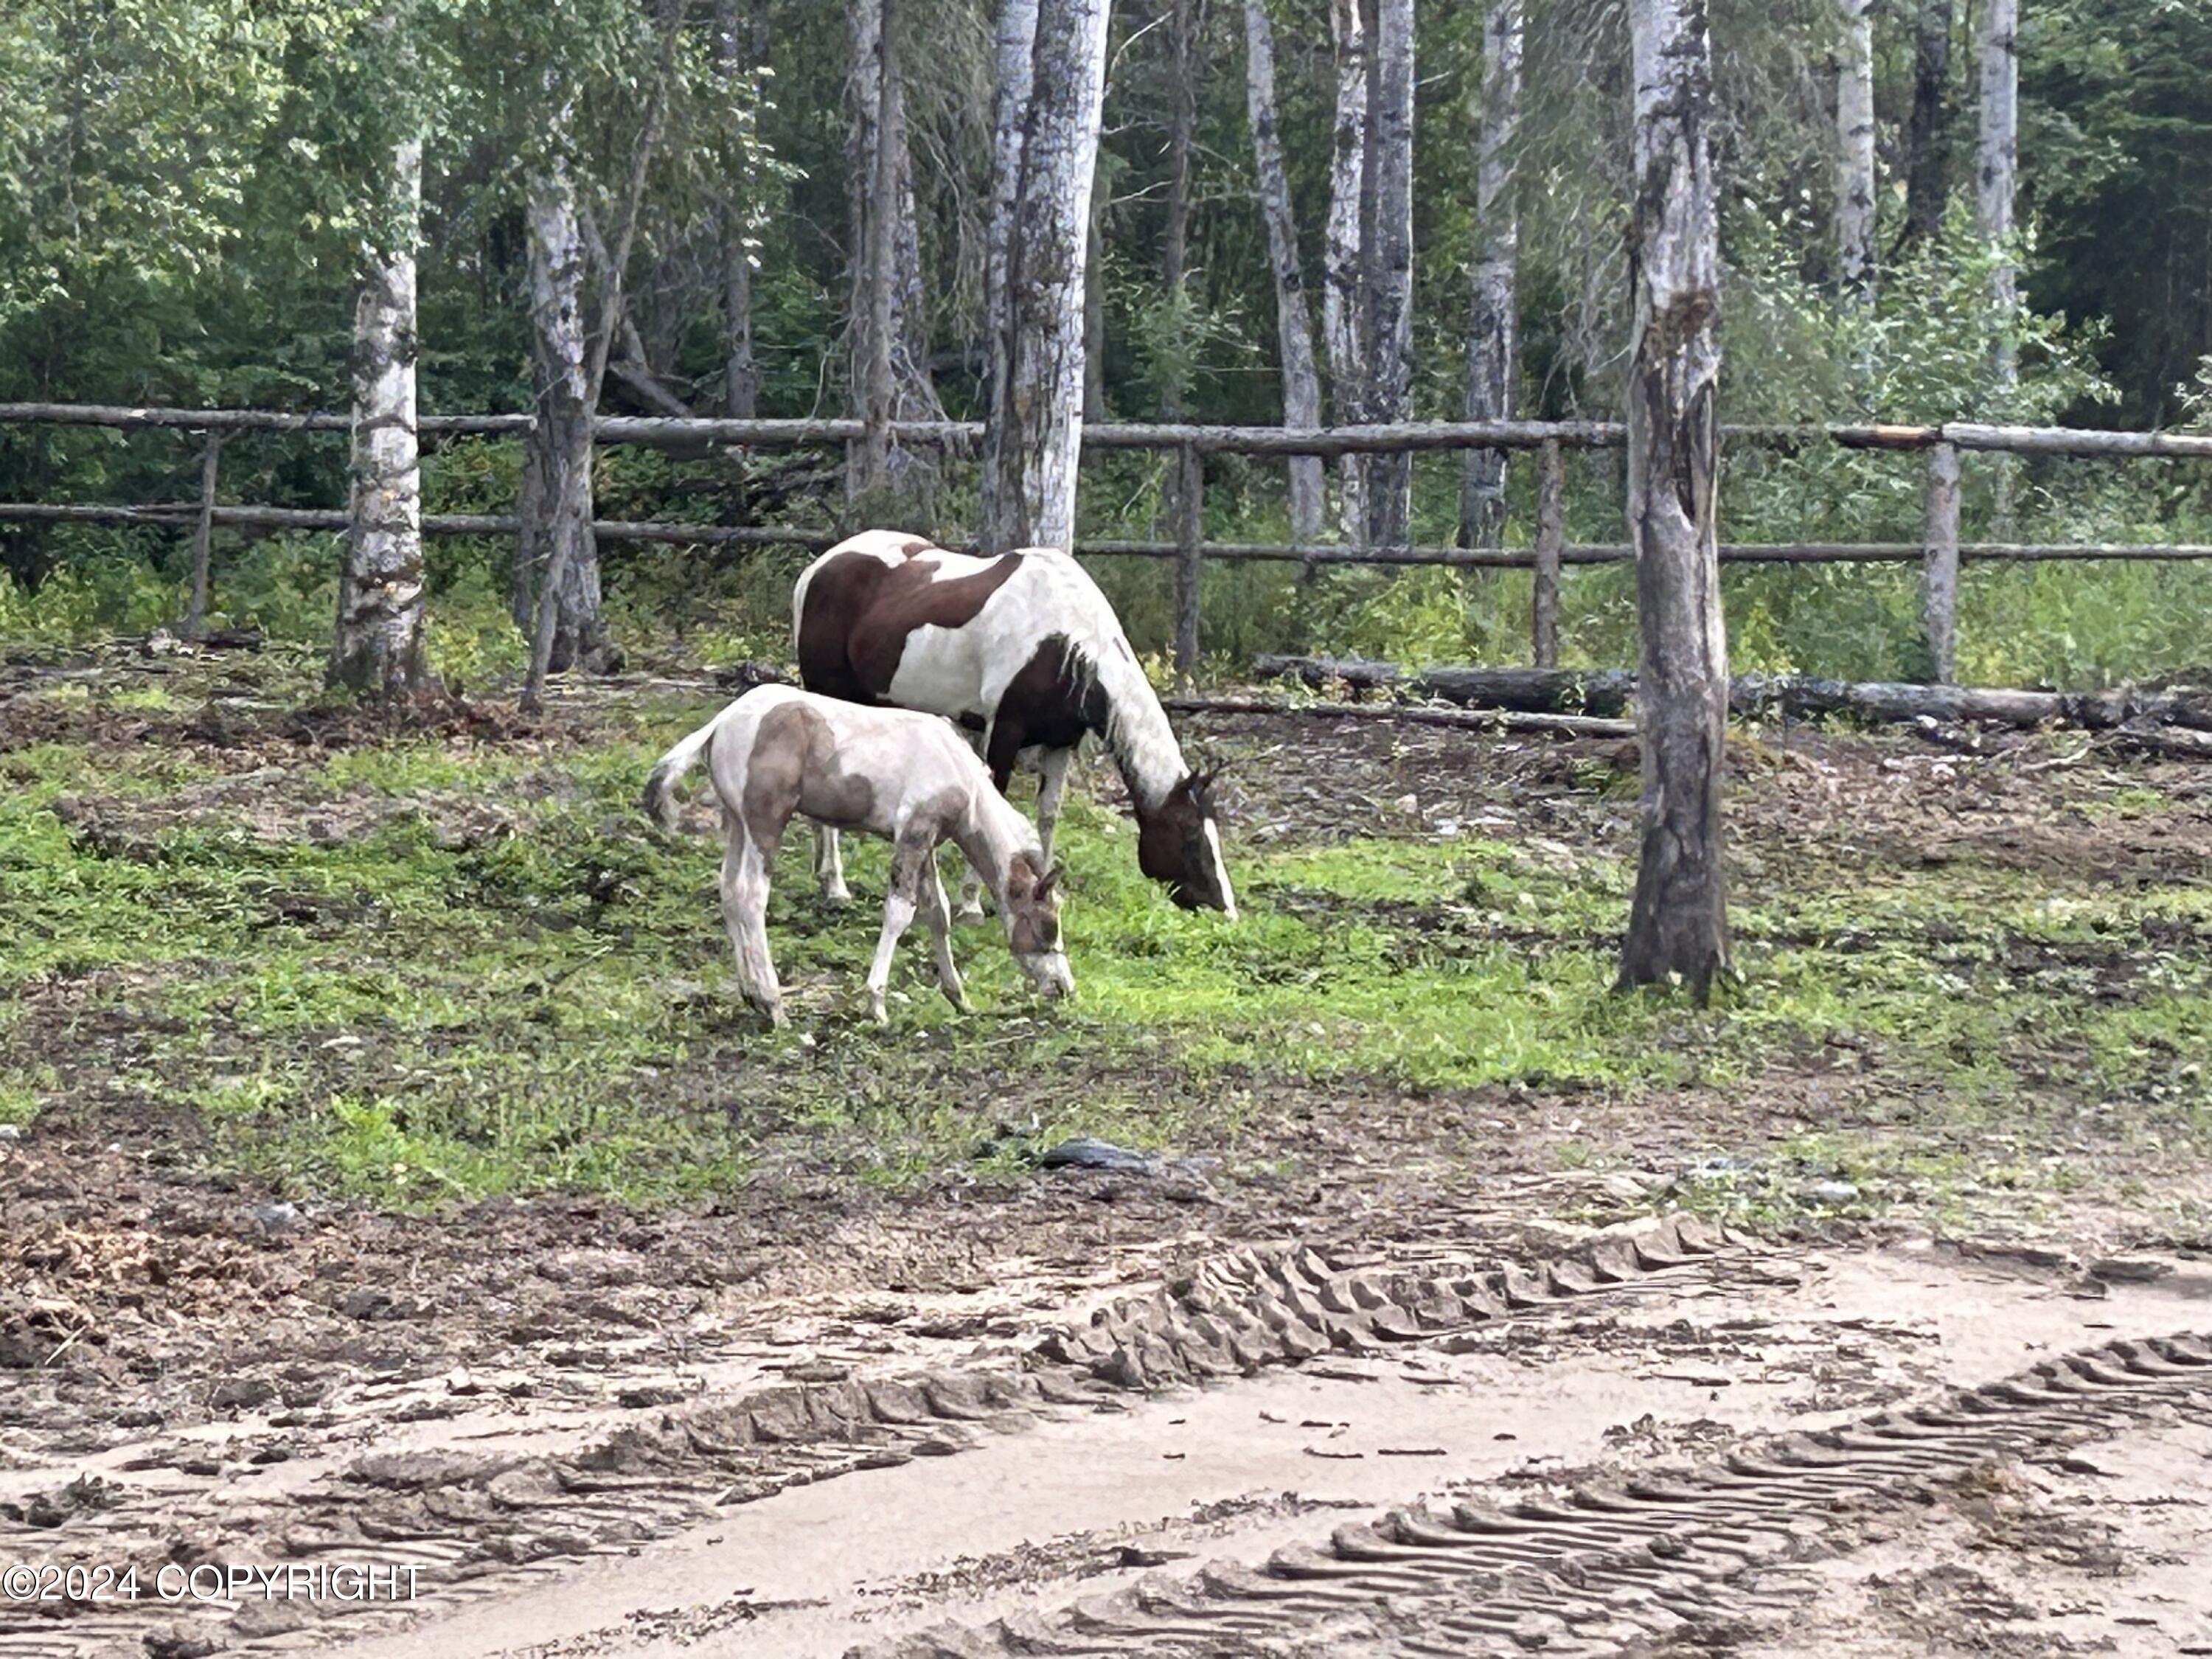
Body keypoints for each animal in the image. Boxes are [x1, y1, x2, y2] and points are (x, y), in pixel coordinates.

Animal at [646, 686, 1075, 1026]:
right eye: (1047, 926)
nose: (1064, 987)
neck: (961, 776)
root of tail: (721, 722)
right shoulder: (913, 835)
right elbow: (900, 914)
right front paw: (876, 1005)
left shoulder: (926, 843)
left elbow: (938, 913)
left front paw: (958, 997)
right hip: (764, 824)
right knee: (750, 896)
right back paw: (774, 1005)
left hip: (738, 824)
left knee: (729, 891)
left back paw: (751, 995)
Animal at [796, 529, 1248, 925]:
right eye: (1190, 835)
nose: (1226, 909)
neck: (1065, 641)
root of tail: (818, 567)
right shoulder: (1004, 732)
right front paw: (972, 903)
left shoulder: (1061, 742)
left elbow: (1048, 815)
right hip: (828, 693)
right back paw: (835, 887)